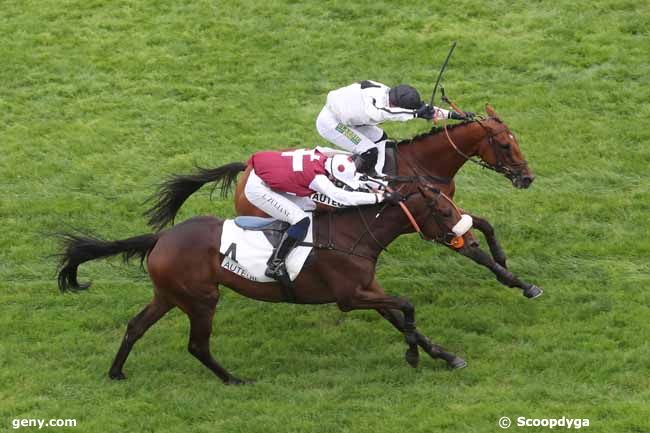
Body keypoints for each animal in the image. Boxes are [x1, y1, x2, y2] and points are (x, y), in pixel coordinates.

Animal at [58, 184, 474, 384]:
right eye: (443, 210)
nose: (466, 238)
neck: (353, 234)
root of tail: (161, 238)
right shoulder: (349, 297)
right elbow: (406, 305)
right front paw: (413, 356)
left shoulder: (367, 289)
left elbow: (401, 316)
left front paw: (444, 355)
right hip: (202, 299)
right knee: (197, 345)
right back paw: (233, 380)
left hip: (168, 295)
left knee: (135, 326)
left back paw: (116, 372)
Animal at [143, 106, 540, 298]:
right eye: (504, 144)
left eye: (516, 141)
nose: (527, 178)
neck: (422, 165)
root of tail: (246, 169)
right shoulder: (428, 222)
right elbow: (473, 250)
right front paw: (520, 284)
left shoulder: (444, 210)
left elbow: (482, 224)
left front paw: (504, 259)